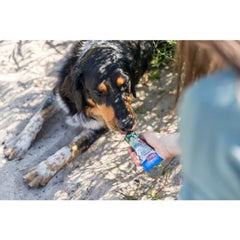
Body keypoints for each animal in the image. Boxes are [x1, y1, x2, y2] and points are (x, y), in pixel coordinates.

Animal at [6, 40, 156, 188]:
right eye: (98, 92)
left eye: (125, 84)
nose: (127, 124)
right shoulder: (59, 94)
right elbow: (37, 117)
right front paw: (20, 145)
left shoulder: (100, 126)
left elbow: (71, 147)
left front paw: (42, 170)